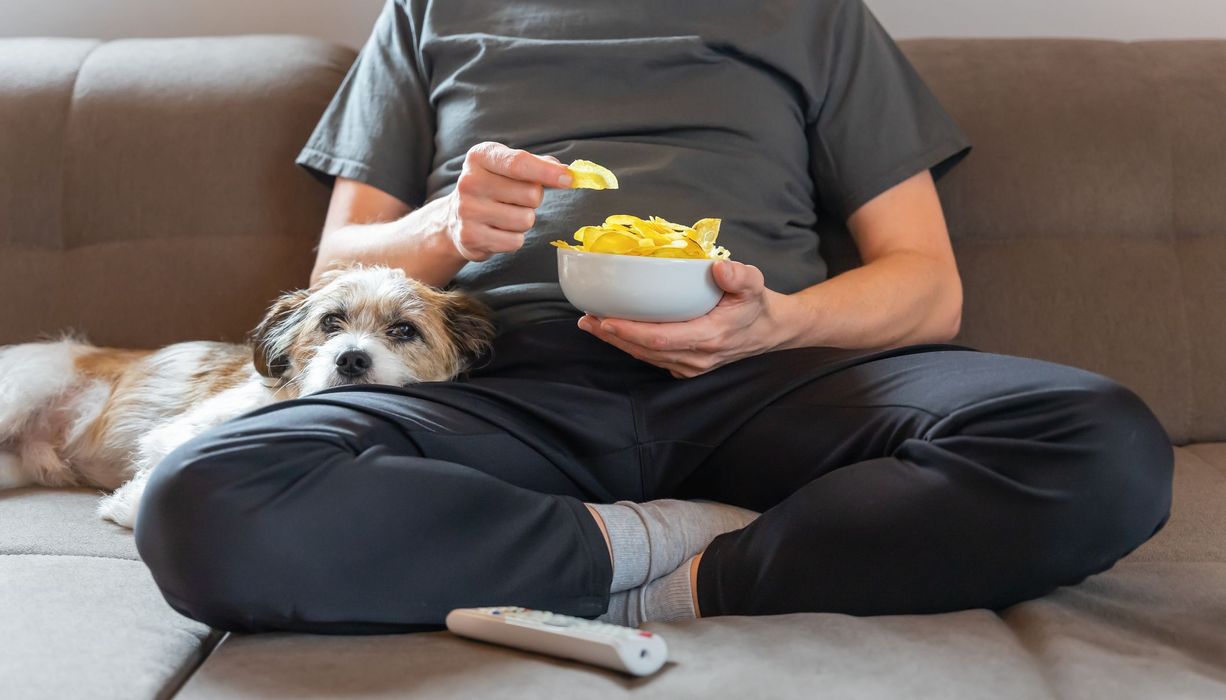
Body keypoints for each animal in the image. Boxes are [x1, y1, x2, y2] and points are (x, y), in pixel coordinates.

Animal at [2, 266, 497, 529]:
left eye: (404, 330)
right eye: (330, 322)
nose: (351, 359)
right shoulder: (178, 432)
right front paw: (126, 505)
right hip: (21, 394)